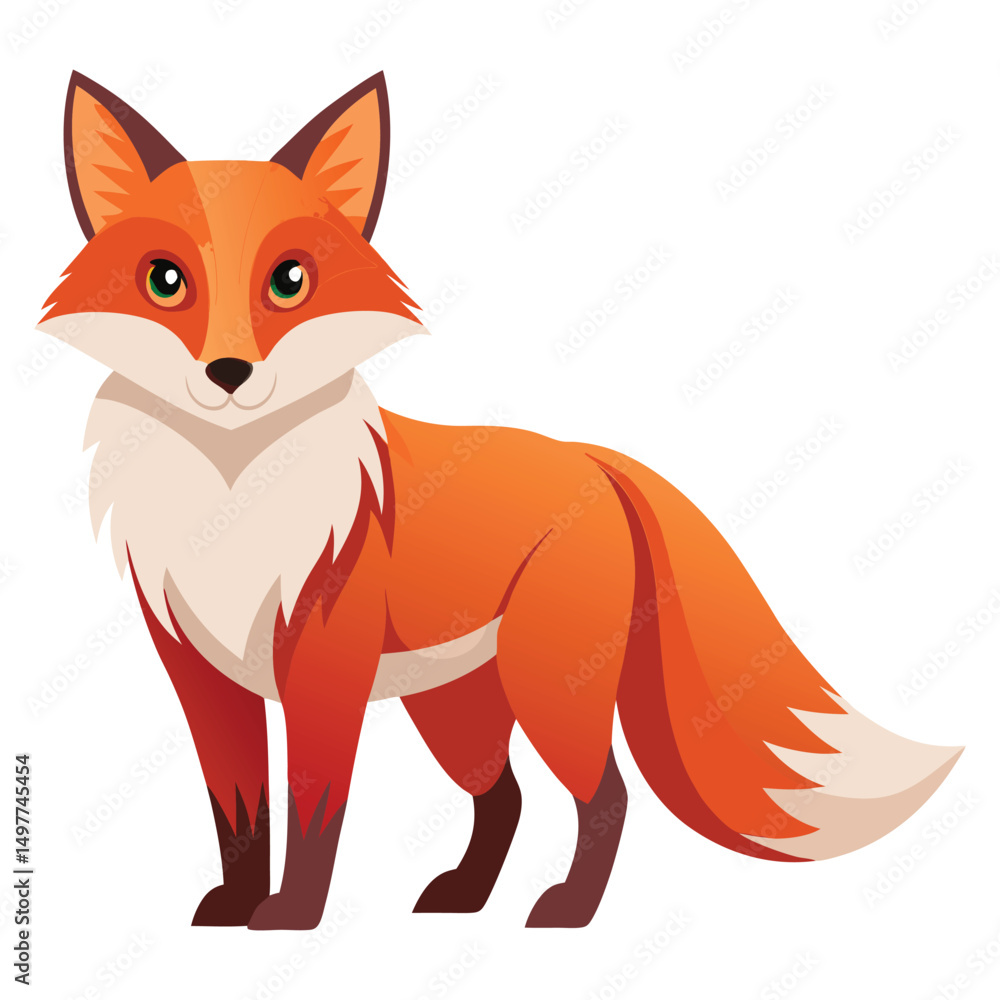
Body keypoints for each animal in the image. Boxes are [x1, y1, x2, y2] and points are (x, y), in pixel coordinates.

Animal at [40, 71, 962, 931]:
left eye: (290, 281)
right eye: (165, 282)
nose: (228, 374)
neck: (232, 499)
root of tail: (591, 460)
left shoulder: (324, 667)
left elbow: (313, 808)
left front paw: (293, 916)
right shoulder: (196, 670)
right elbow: (238, 808)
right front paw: (235, 907)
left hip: (549, 687)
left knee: (606, 796)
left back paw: (568, 911)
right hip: (456, 707)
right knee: (504, 797)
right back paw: (465, 896)